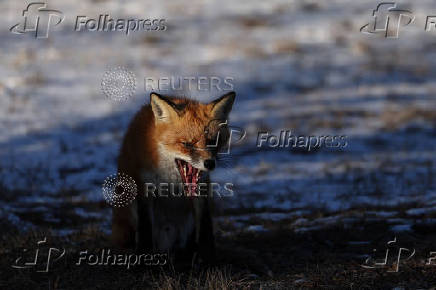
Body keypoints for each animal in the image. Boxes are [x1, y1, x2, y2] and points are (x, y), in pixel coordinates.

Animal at [112, 91, 235, 262]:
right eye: (187, 144)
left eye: (212, 141)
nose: (210, 163)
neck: (171, 181)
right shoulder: (145, 188)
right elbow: (145, 229)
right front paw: (143, 259)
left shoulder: (201, 188)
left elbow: (205, 227)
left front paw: (209, 259)